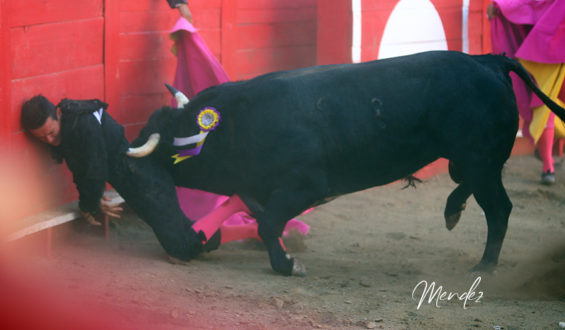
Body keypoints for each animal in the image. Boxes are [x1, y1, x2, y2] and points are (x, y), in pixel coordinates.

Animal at [130, 50, 564, 274]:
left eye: (163, 141)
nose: (127, 149)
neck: (237, 123)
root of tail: (488, 59)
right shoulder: (263, 190)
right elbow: (263, 221)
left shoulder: (306, 185)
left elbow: (269, 224)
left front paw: (288, 266)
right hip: (473, 161)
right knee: (476, 191)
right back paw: (455, 214)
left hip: (479, 159)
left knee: (498, 208)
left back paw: (484, 264)